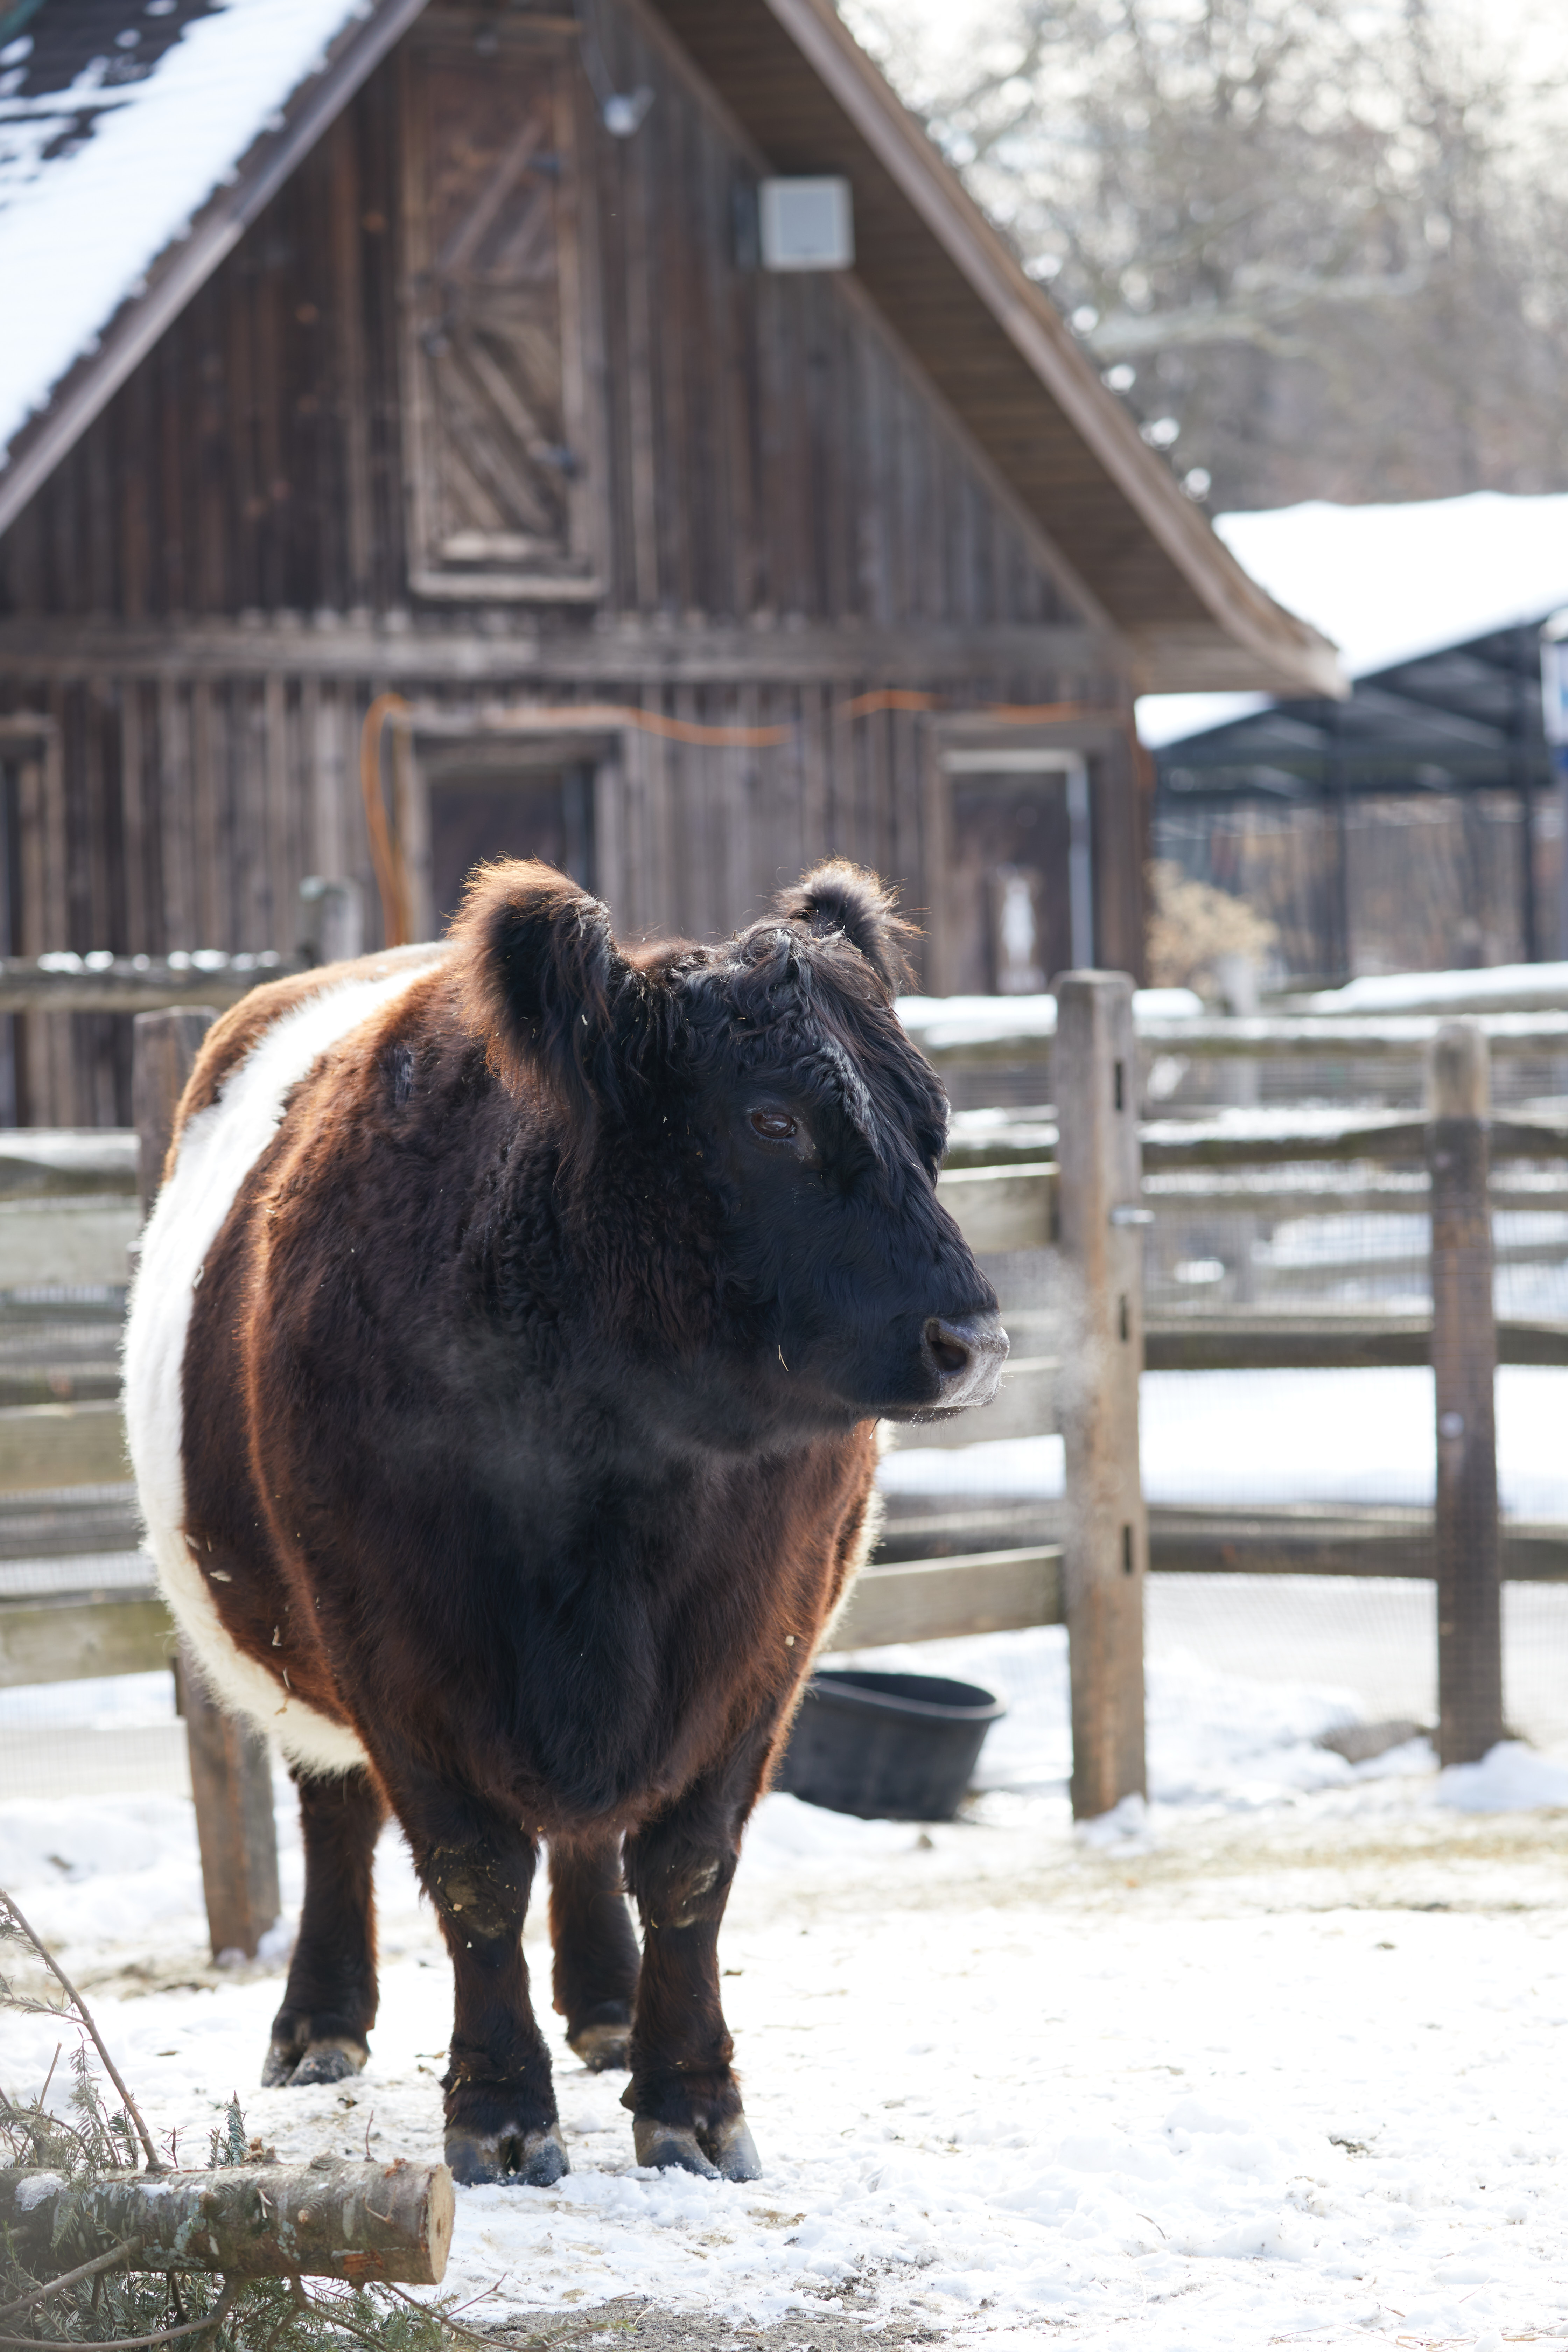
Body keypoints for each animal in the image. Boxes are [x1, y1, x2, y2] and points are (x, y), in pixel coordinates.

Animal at [123, 859, 1006, 2189]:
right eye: (774, 1122)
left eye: (929, 1120)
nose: (971, 1340)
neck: (619, 1471)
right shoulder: (390, 1642)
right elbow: (477, 1874)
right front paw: (498, 2112)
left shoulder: (766, 1645)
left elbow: (689, 1867)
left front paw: (692, 2099)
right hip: (289, 1644)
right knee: (336, 1811)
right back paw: (320, 2022)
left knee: (589, 1838)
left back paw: (604, 2008)